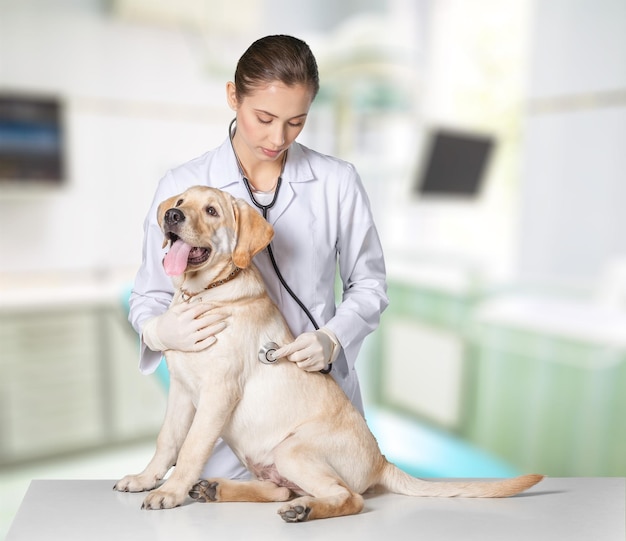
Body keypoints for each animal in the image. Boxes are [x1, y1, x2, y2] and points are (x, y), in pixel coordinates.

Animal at [116, 185, 540, 520]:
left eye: (211, 211)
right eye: (180, 201)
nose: (171, 215)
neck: (205, 293)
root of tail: (382, 461)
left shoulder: (218, 392)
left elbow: (190, 448)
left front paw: (169, 492)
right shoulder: (181, 392)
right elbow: (167, 442)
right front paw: (145, 479)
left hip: (293, 449)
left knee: (347, 497)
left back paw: (302, 510)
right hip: (275, 461)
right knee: (281, 489)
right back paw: (220, 489)